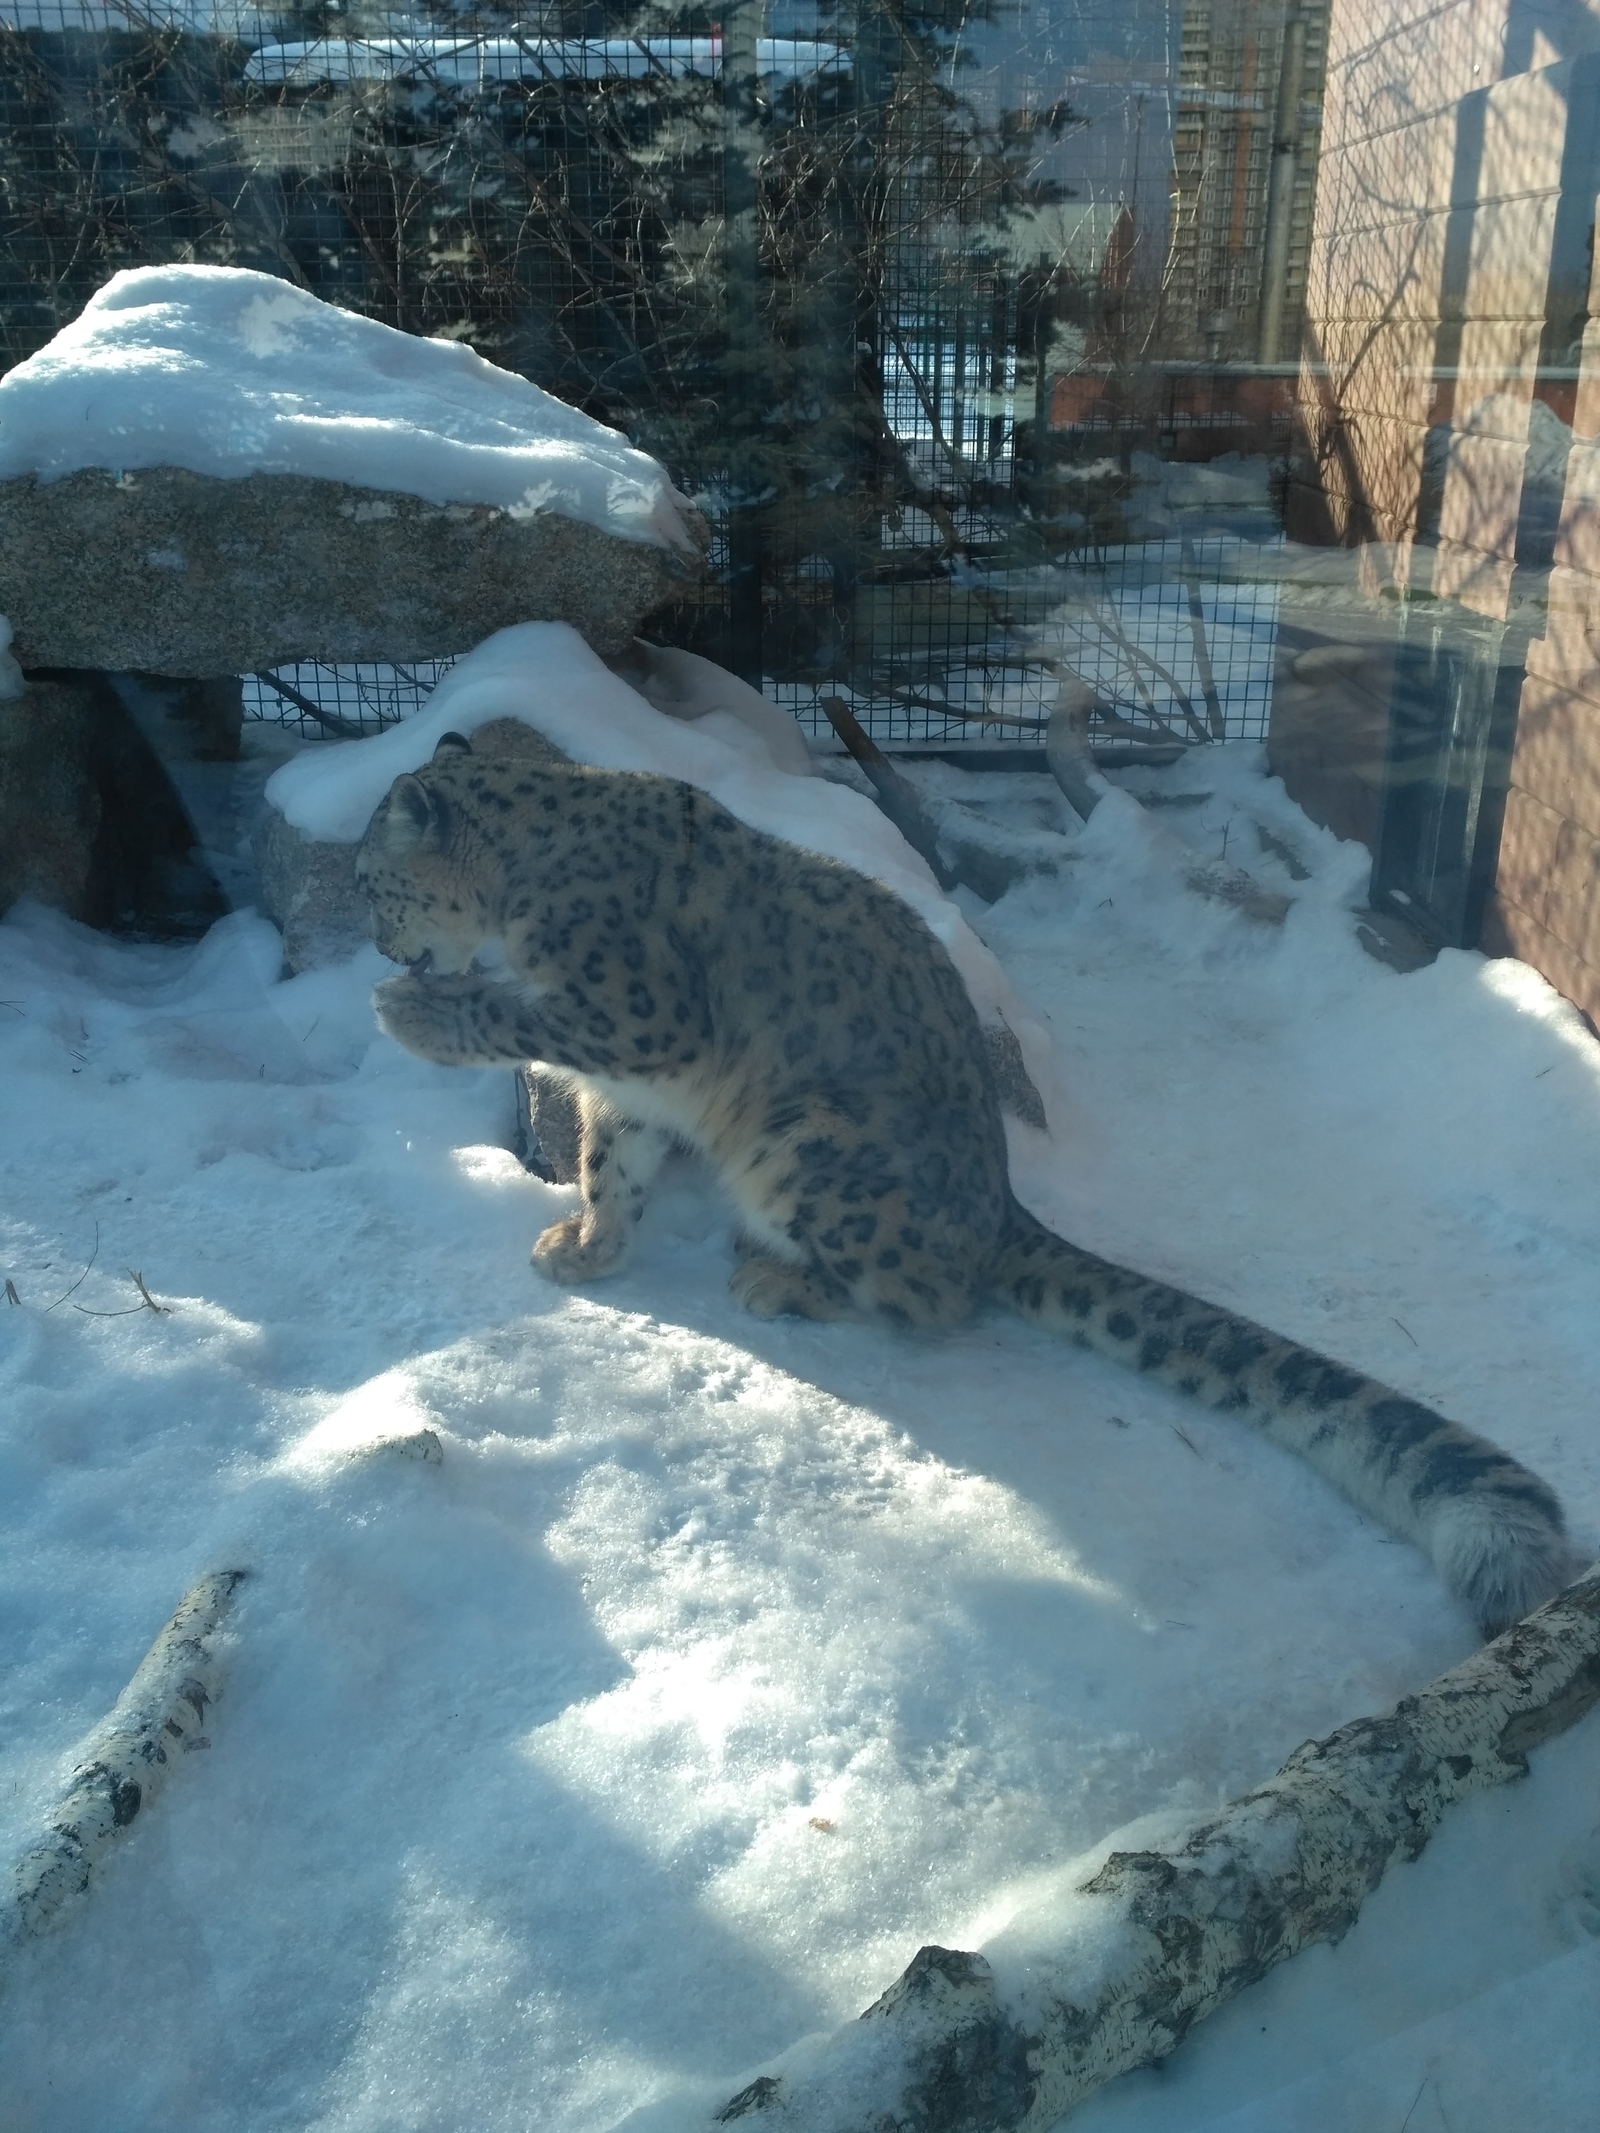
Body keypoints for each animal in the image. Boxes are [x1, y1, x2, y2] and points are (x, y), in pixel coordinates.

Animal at [356, 725, 1570, 1638]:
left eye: (374, 878)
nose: (376, 944)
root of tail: (1000, 1203)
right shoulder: (637, 1092)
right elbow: (613, 1163)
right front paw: (585, 1247)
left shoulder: (636, 1016)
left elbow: (526, 1024)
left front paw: (418, 1018)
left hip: (808, 1144)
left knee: (930, 1296)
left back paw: (780, 1279)